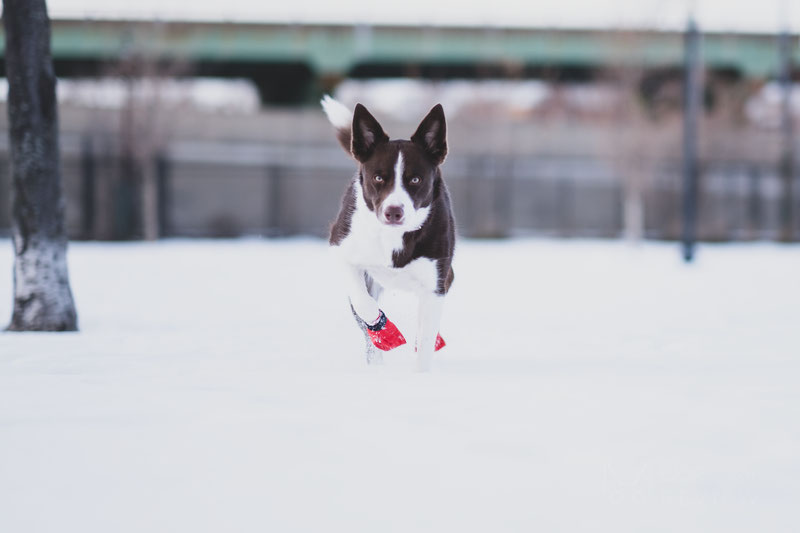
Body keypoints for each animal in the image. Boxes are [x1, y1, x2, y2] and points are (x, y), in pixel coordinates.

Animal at [320, 96, 456, 370]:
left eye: (415, 180)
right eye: (378, 178)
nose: (394, 212)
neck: (395, 237)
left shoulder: (437, 283)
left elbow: (426, 338)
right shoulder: (341, 249)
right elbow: (364, 303)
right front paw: (385, 333)